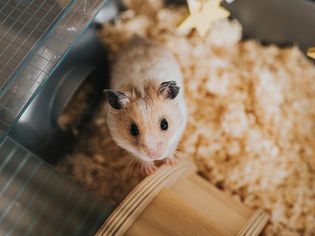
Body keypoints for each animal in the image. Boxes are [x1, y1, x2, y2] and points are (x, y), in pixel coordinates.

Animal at [105, 37, 188, 176]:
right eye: (133, 130)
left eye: (165, 124)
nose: (155, 156)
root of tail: (137, 38)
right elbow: (141, 157)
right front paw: (150, 170)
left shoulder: (179, 129)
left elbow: (171, 148)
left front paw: (171, 163)